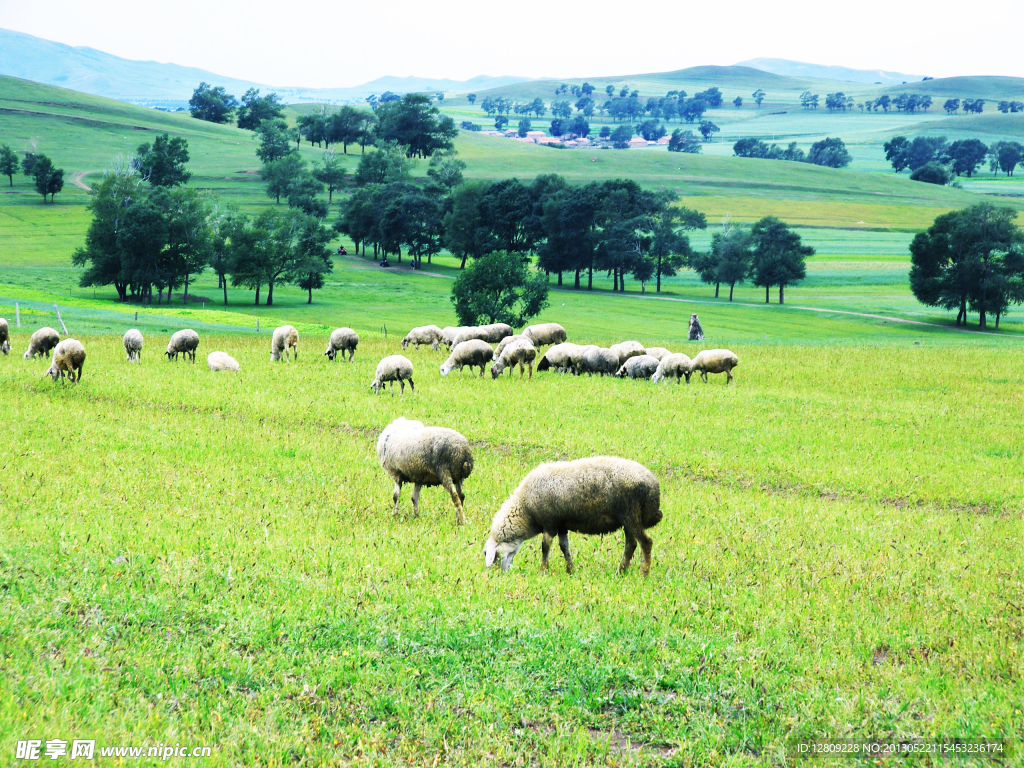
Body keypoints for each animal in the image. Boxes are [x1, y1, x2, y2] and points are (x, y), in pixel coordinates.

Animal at [481, 456, 659, 577]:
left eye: (488, 554)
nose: (499, 574)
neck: (526, 508)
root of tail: (654, 485)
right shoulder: (561, 525)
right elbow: (564, 546)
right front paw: (570, 570)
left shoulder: (549, 523)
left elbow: (545, 547)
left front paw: (543, 571)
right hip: (628, 520)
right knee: (631, 544)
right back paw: (621, 571)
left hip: (631, 514)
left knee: (646, 542)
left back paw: (644, 573)